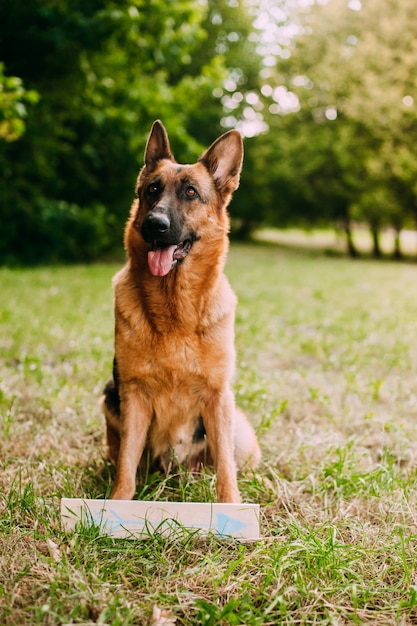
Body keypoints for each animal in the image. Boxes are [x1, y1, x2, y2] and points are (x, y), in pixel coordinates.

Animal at [100, 118, 260, 502]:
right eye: (152, 190)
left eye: (190, 192)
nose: (153, 225)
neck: (175, 312)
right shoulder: (134, 395)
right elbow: (126, 465)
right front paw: (117, 503)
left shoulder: (217, 397)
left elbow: (226, 470)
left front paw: (231, 506)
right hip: (110, 396)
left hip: (239, 434)